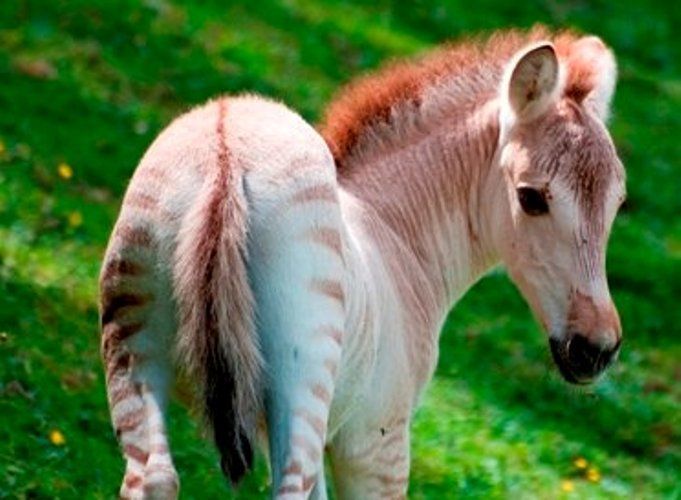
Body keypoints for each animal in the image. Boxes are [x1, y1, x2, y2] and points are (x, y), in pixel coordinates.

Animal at [98, 28, 624, 500]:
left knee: (152, 478)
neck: (398, 236)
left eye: (617, 202)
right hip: (301, 376)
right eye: (530, 198)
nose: (596, 350)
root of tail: (225, 153)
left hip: (134, 348)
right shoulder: (376, 443)